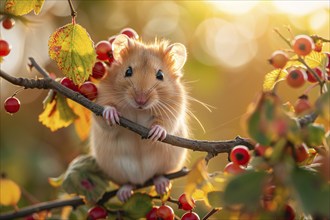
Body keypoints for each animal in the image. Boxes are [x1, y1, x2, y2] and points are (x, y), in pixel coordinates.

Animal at [89, 34, 188, 201]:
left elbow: (165, 124)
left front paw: (156, 132)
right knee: (128, 183)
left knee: (158, 174)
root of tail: (142, 179)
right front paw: (111, 113)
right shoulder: (101, 99)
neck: (139, 110)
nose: (140, 100)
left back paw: (162, 184)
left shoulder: (174, 109)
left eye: (160, 75)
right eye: (128, 71)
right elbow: (105, 116)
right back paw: (124, 194)